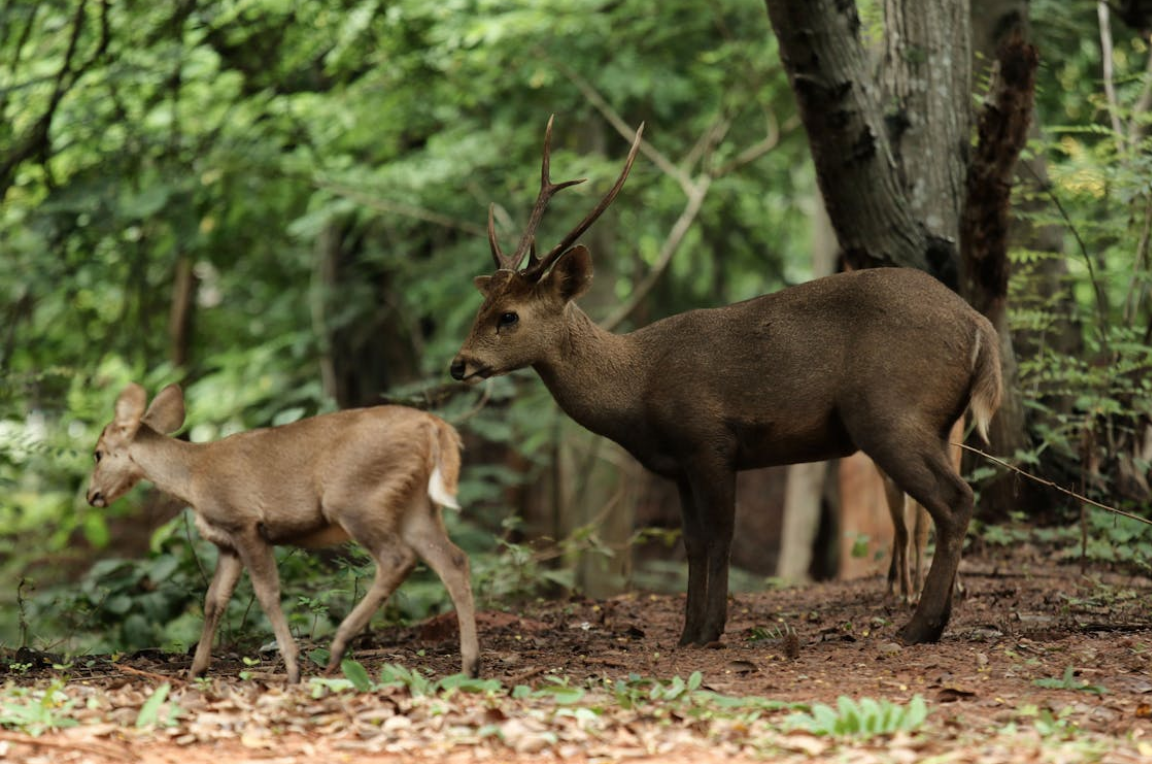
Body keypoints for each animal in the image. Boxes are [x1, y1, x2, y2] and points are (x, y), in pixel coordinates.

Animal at [86, 384, 476, 682]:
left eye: (98, 453)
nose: (92, 495)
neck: (192, 479)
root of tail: (434, 426)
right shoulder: (227, 542)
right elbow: (213, 600)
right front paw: (196, 670)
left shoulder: (246, 522)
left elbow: (267, 594)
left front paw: (292, 668)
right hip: (417, 506)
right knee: (454, 561)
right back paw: (470, 665)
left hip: (357, 498)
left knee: (398, 559)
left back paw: (338, 647)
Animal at [449, 118, 999, 645]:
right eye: (481, 307)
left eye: (509, 316)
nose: (458, 364)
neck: (637, 390)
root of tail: (979, 326)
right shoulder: (680, 464)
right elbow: (693, 542)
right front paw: (688, 633)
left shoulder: (710, 440)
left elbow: (720, 536)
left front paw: (711, 629)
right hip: (935, 422)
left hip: (891, 410)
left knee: (954, 501)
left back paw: (919, 627)